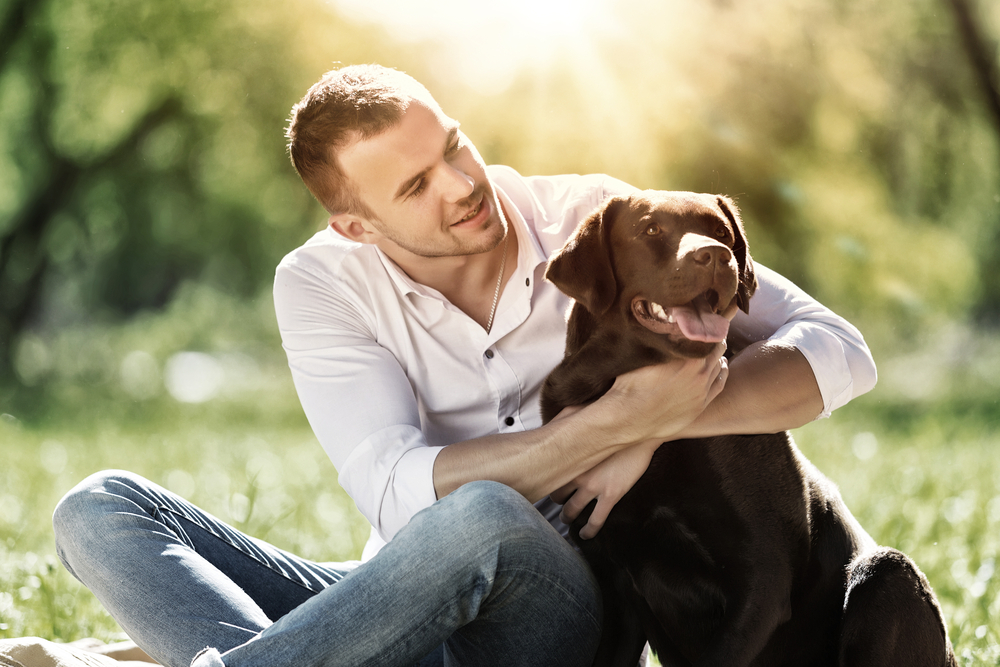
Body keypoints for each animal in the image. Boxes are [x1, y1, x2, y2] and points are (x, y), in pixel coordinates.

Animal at [540, 192, 952, 667]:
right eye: (650, 230)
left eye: (721, 232)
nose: (716, 256)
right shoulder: (614, 583)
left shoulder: (762, 575)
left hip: (887, 575)